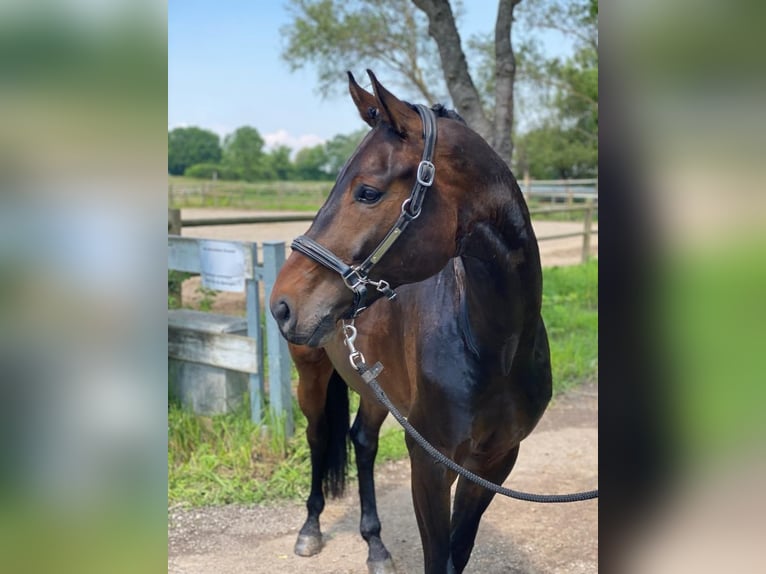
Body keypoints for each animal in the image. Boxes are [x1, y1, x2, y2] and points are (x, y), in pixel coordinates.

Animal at [270, 72, 552, 574]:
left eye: (367, 191)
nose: (282, 304)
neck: (494, 348)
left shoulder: (494, 462)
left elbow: (458, 551)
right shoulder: (430, 462)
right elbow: (438, 557)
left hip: (376, 388)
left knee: (362, 442)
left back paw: (376, 546)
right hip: (312, 375)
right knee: (319, 437)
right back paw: (310, 531)